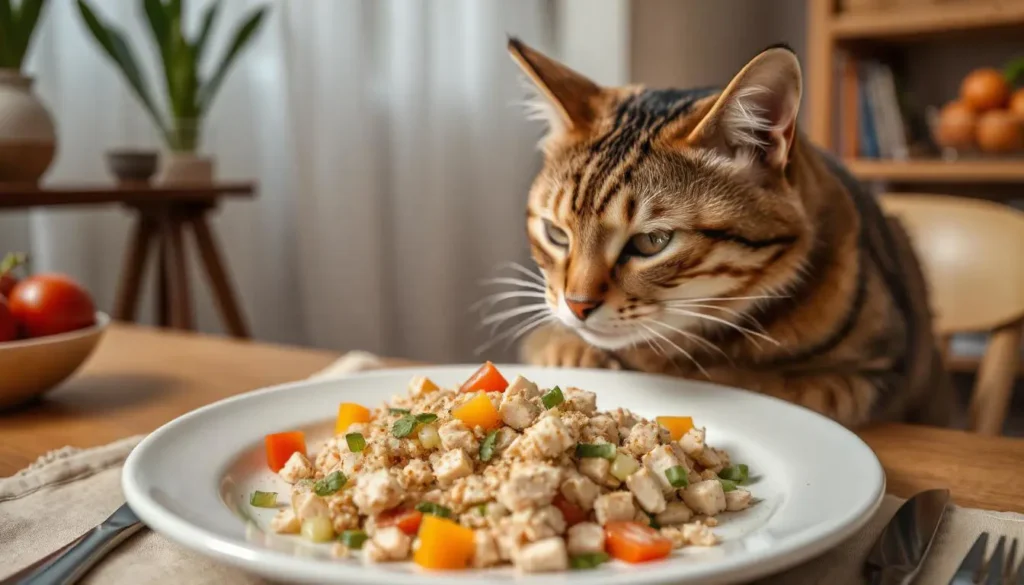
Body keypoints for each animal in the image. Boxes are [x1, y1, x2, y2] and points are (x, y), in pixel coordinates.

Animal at [503, 38, 950, 428]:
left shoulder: (869, 378)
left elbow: (760, 382)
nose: (577, 306)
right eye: (556, 234)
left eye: (652, 242)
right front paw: (574, 350)